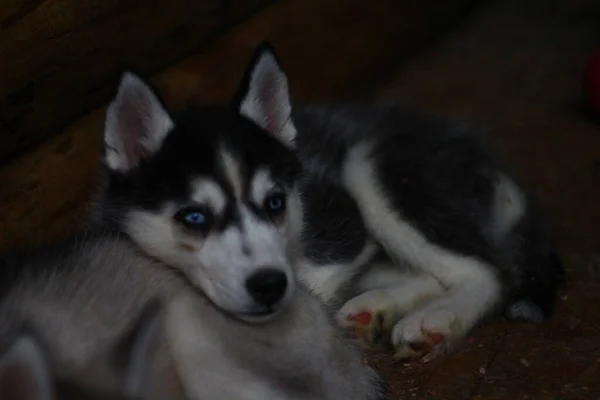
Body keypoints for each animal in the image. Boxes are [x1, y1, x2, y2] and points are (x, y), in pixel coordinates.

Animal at [89, 42, 564, 360]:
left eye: (276, 203)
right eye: (194, 217)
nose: (269, 284)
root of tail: (484, 155)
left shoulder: (342, 230)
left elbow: (311, 287)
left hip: (371, 168)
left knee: (487, 271)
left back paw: (438, 319)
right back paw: (373, 309)